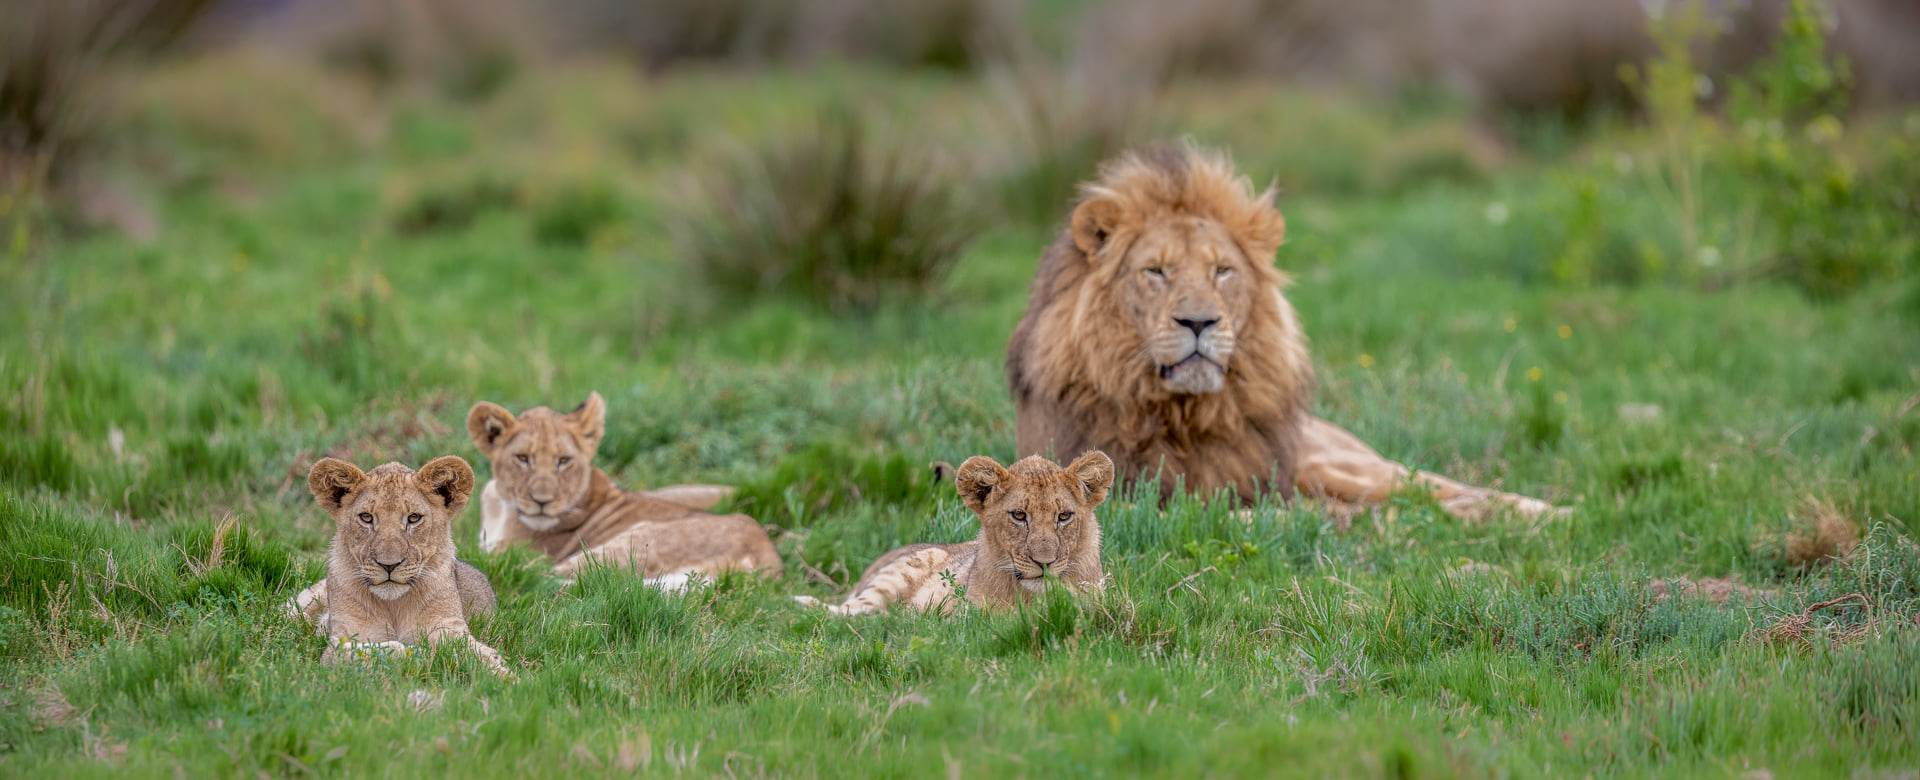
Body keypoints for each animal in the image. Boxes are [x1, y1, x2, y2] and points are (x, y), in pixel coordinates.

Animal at [286, 457, 510, 676]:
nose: (389, 565)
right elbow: (384, 651)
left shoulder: (449, 626)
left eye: (414, 518)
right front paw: (424, 652)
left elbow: (466, 649)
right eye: (366, 517)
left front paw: (499, 668)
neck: (393, 606)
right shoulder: (340, 643)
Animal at [464, 393, 779, 587]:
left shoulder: (516, 553)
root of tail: (767, 560)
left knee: (541, 577)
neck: (500, 505)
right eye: (522, 458)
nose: (542, 501)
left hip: (627, 543)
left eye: (563, 460)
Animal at [1006, 141, 1559, 518]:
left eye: (1222, 271)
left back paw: (1547, 514)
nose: (1200, 321)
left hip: (1337, 460)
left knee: (1433, 485)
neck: (1185, 417)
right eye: (1155, 271)